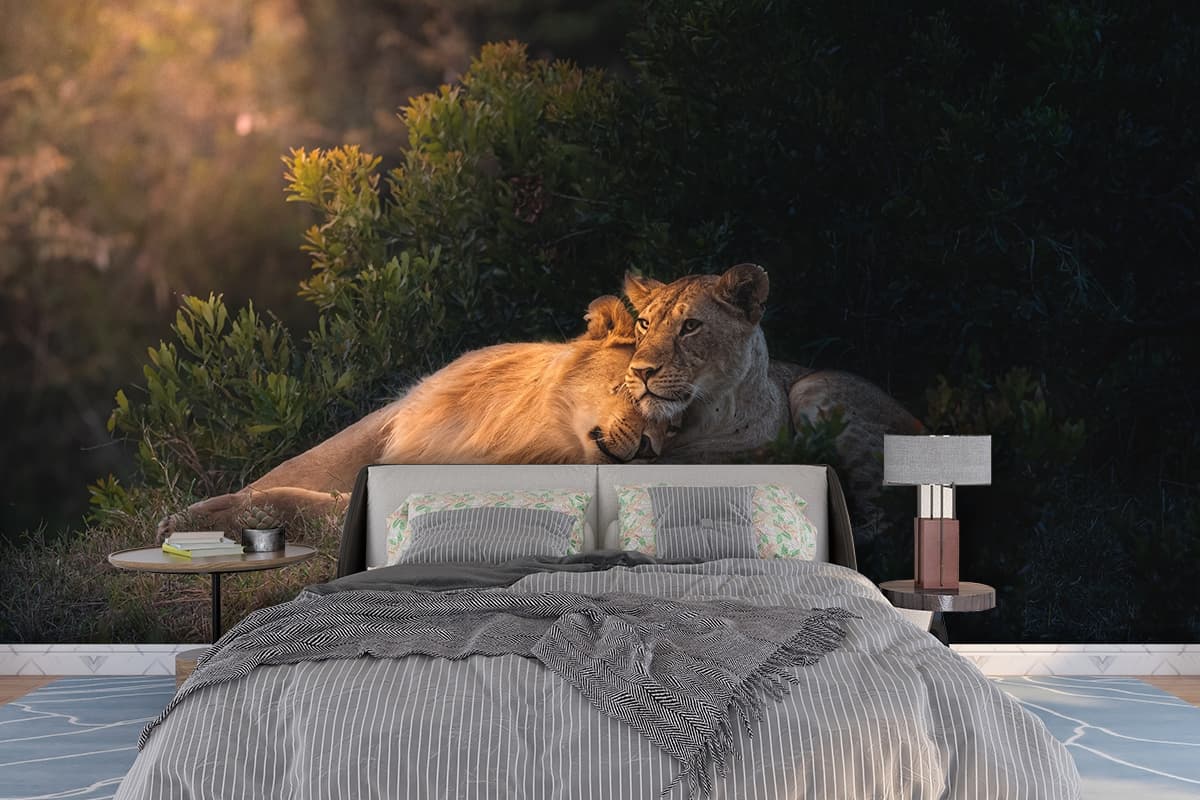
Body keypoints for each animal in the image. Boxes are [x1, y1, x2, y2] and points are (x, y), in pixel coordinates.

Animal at [159, 295, 670, 537]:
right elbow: (299, 466)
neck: (538, 425)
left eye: (680, 420)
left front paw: (210, 519)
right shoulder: (398, 416)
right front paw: (187, 518)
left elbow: (309, 503)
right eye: (643, 381)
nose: (652, 447)